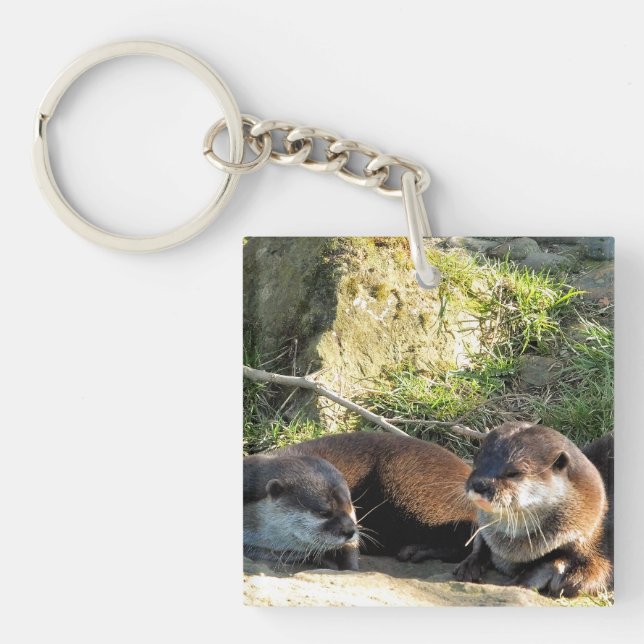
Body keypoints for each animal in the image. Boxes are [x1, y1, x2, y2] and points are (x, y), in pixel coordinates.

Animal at [454, 422, 612, 597]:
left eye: (513, 472)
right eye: (476, 460)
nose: (479, 484)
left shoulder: (595, 544)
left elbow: (583, 573)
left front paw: (519, 583)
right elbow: (480, 542)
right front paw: (469, 564)